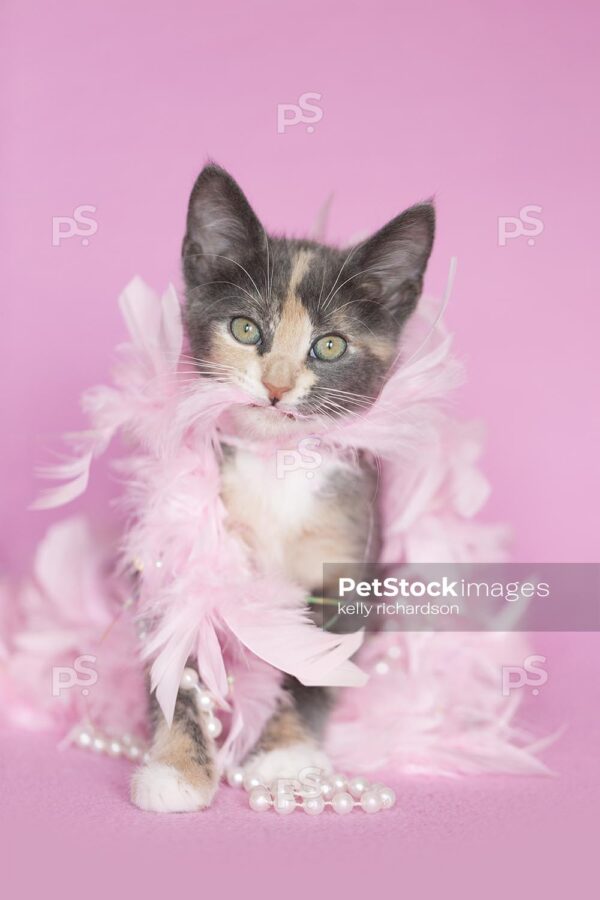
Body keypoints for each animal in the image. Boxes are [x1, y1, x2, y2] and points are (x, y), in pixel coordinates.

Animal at [131, 163, 434, 816]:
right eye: (246, 329)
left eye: (330, 345)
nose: (274, 387)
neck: (276, 464)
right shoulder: (183, 552)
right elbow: (178, 656)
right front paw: (175, 768)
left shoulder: (347, 562)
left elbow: (318, 664)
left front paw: (288, 755)